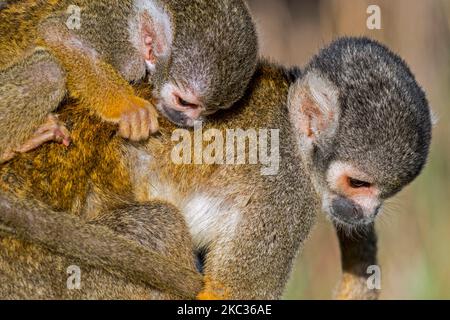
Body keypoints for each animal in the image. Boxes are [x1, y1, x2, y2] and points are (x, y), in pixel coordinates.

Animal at [0, 0, 256, 162]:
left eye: (210, 111)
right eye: (185, 103)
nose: (188, 121)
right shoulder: (119, 32)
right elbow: (57, 32)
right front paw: (128, 107)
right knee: (49, 70)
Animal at [0, 38, 432, 298]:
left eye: (383, 192)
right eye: (358, 183)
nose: (364, 213)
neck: (295, 136)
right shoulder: (287, 190)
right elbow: (233, 293)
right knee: (159, 227)